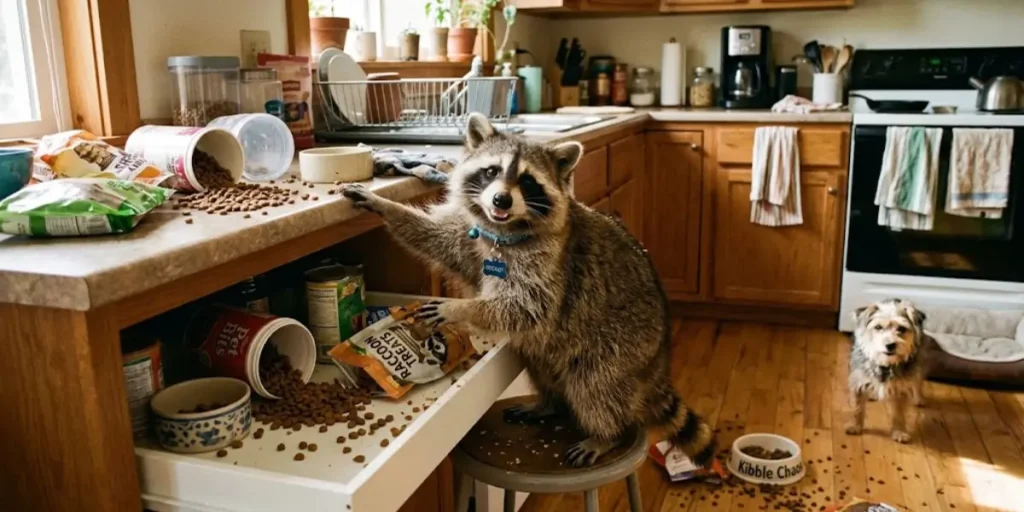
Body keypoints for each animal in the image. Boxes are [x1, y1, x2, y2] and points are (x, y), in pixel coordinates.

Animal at [341, 113, 715, 467]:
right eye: (491, 171)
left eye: (527, 181)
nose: (501, 199)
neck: (503, 229)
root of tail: (658, 359)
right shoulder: (472, 236)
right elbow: (437, 240)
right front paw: (386, 206)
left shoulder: (549, 264)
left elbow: (523, 306)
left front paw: (458, 310)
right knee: (544, 366)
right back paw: (549, 403)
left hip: (622, 345)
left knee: (596, 385)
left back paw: (606, 434)